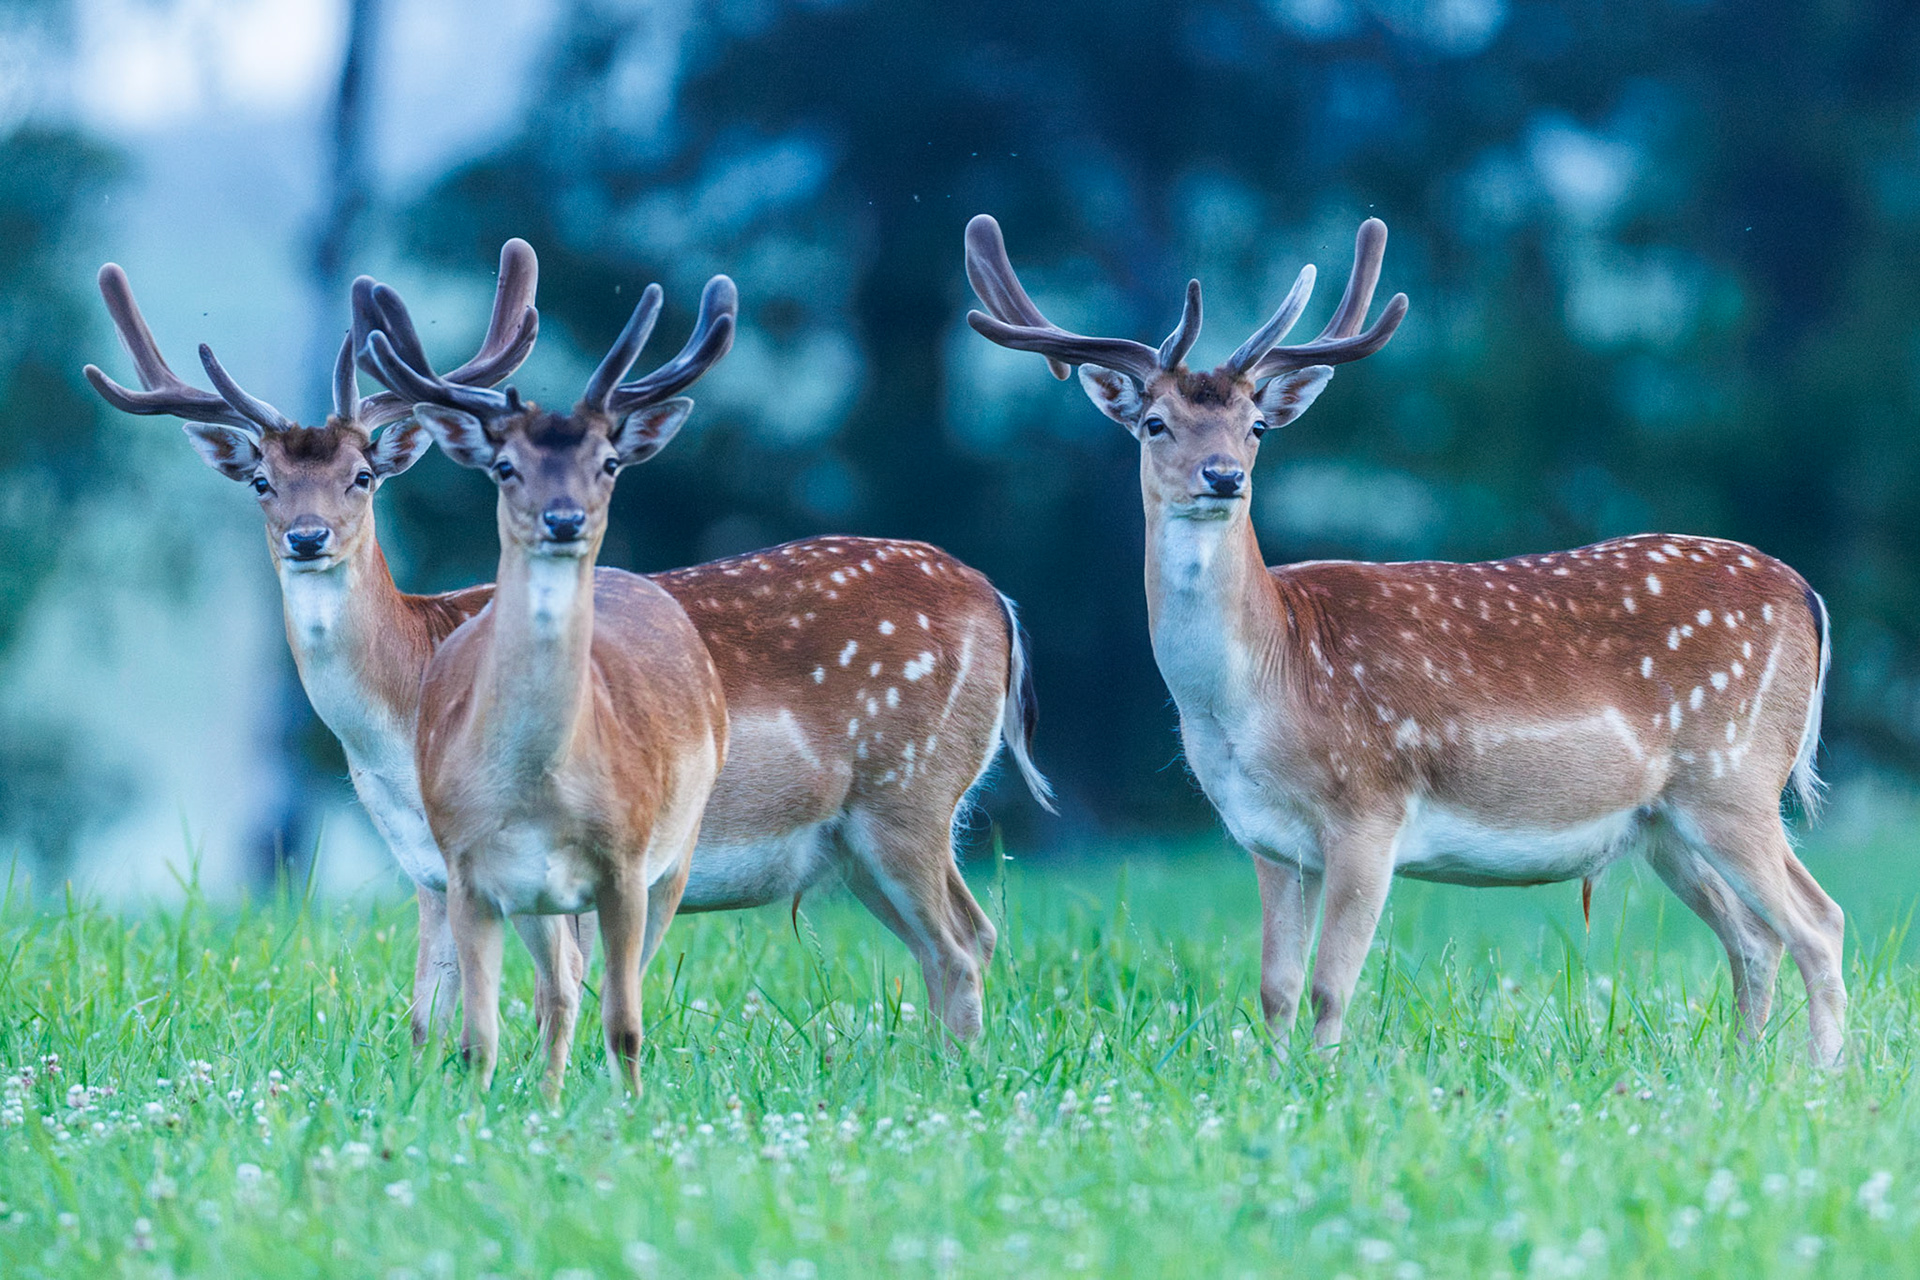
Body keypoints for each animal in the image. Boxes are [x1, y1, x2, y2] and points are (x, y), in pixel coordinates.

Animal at [965, 213, 1847, 1066]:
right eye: (1154, 423)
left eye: (1256, 425)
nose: (1223, 476)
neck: (1261, 687)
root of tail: (1807, 596)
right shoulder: (1267, 841)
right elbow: (1275, 989)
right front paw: (1274, 1083)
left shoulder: (1370, 808)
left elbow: (1330, 987)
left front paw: (1325, 1083)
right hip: (1666, 824)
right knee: (1756, 938)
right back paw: (1743, 1068)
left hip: (1733, 778)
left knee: (1819, 922)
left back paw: (1824, 1074)